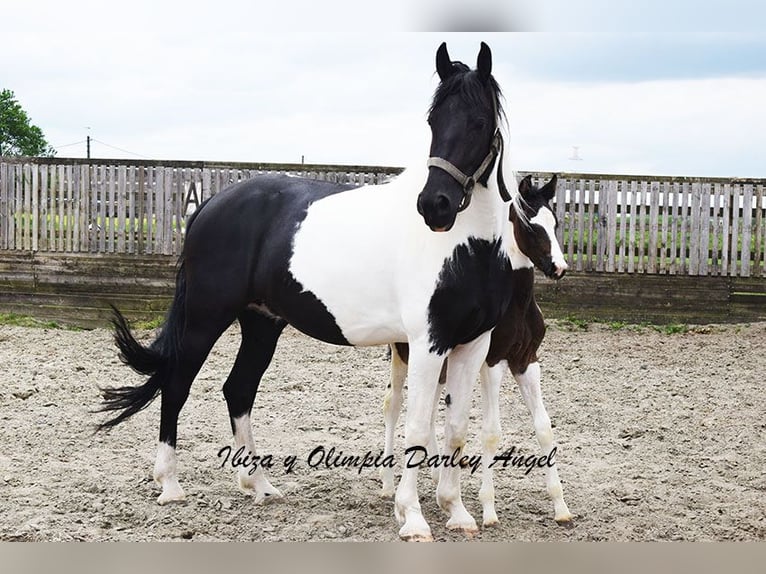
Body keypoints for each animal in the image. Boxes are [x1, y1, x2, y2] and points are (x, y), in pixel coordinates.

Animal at [99, 42, 544, 544]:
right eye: (433, 120)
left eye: (479, 122)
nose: (435, 206)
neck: (466, 246)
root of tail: (210, 205)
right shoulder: (427, 343)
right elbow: (417, 426)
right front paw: (412, 517)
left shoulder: (473, 345)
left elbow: (455, 428)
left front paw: (457, 511)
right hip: (205, 317)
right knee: (177, 384)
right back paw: (170, 485)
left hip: (261, 323)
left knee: (239, 390)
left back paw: (260, 485)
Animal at [380, 177, 572, 532]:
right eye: (531, 226)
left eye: (555, 223)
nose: (559, 268)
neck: (517, 304)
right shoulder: (492, 363)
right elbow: (491, 432)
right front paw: (488, 510)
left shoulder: (527, 362)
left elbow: (544, 428)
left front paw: (561, 507)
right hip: (405, 356)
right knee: (394, 406)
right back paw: (388, 487)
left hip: (441, 363)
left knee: (429, 415)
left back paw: (437, 479)